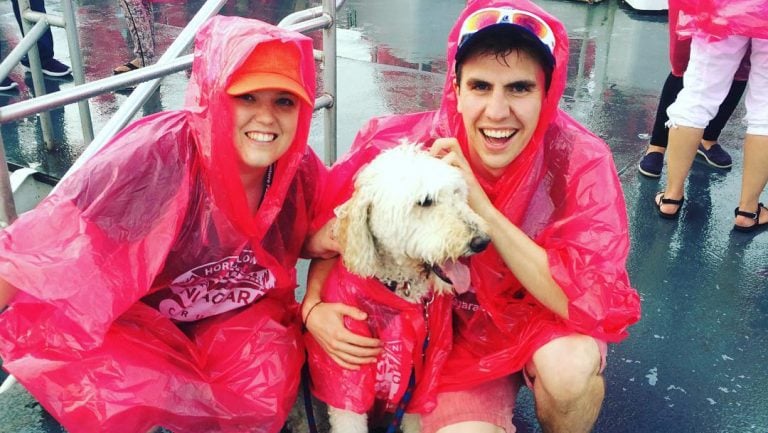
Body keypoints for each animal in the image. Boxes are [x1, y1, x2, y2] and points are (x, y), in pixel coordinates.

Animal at [326, 144, 492, 432]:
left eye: (457, 193)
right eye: (425, 201)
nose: (481, 241)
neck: (400, 287)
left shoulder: (424, 377)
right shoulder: (348, 375)